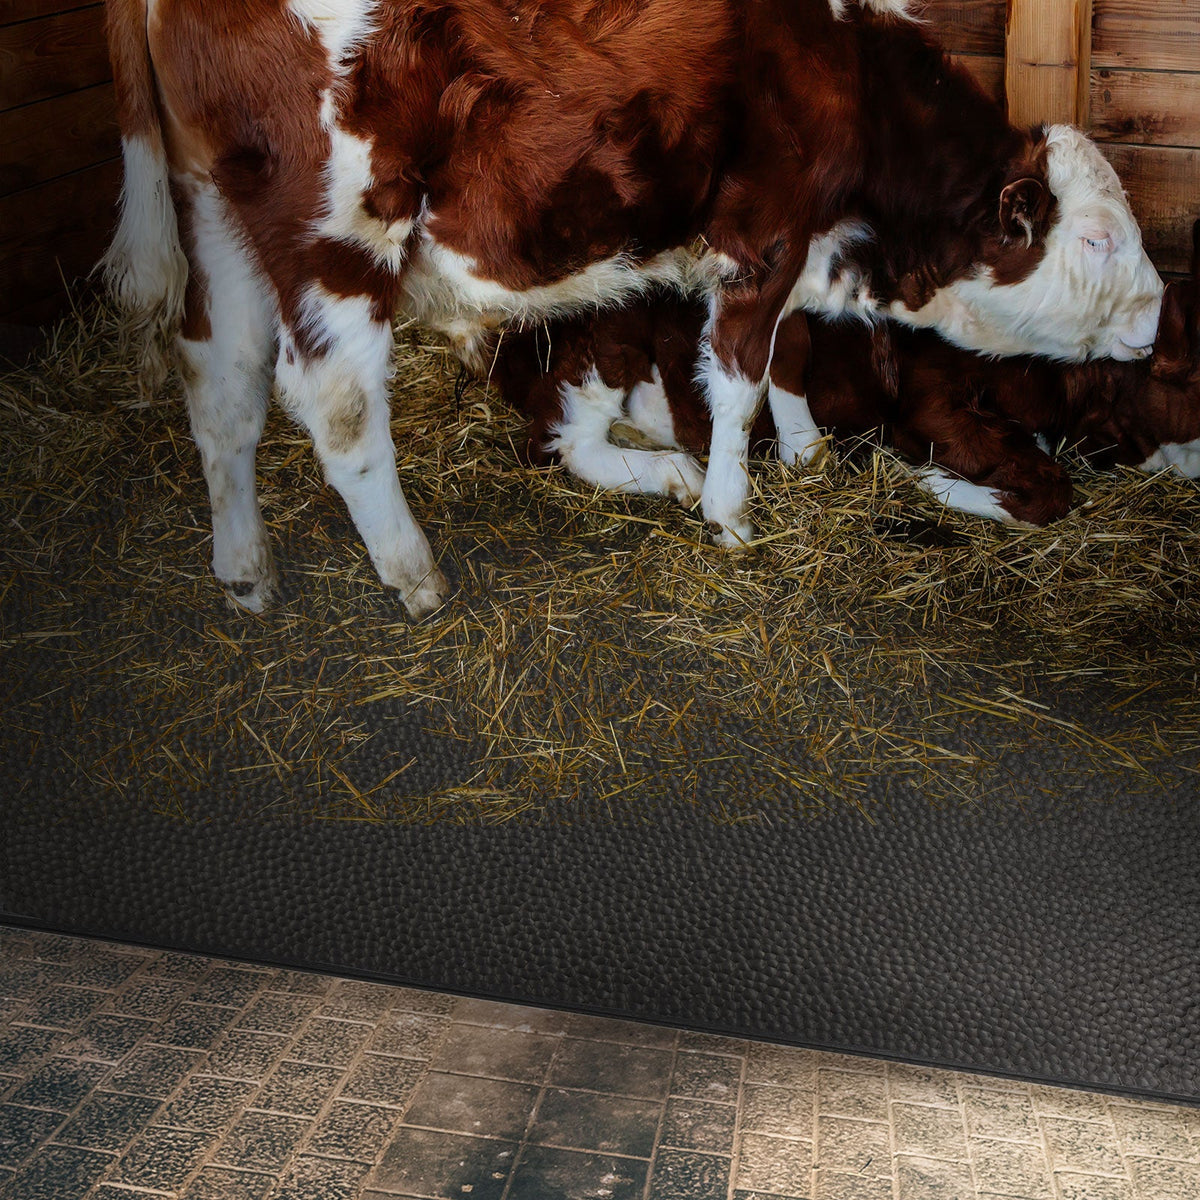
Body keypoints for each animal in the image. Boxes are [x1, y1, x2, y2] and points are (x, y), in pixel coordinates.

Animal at [491, 220, 1200, 527]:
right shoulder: (933, 396)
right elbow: (1049, 490)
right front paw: (929, 482)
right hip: (603, 346)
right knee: (564, 440)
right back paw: (679, 476)